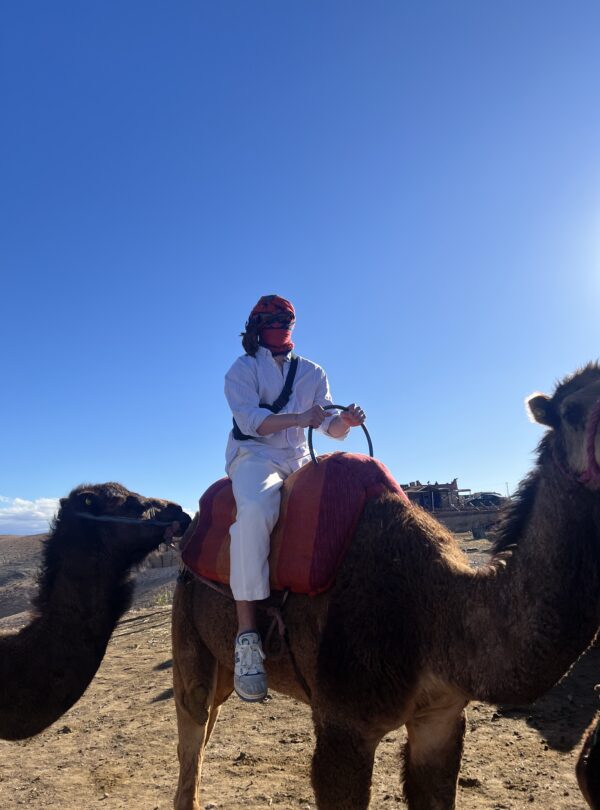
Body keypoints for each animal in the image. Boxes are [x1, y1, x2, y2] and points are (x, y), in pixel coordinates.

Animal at [172, 363, 600, 809]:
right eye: (571, 413)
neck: (436, 610)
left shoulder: (441, 718)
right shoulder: (344, 726)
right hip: (188, 625)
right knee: (192, 724)